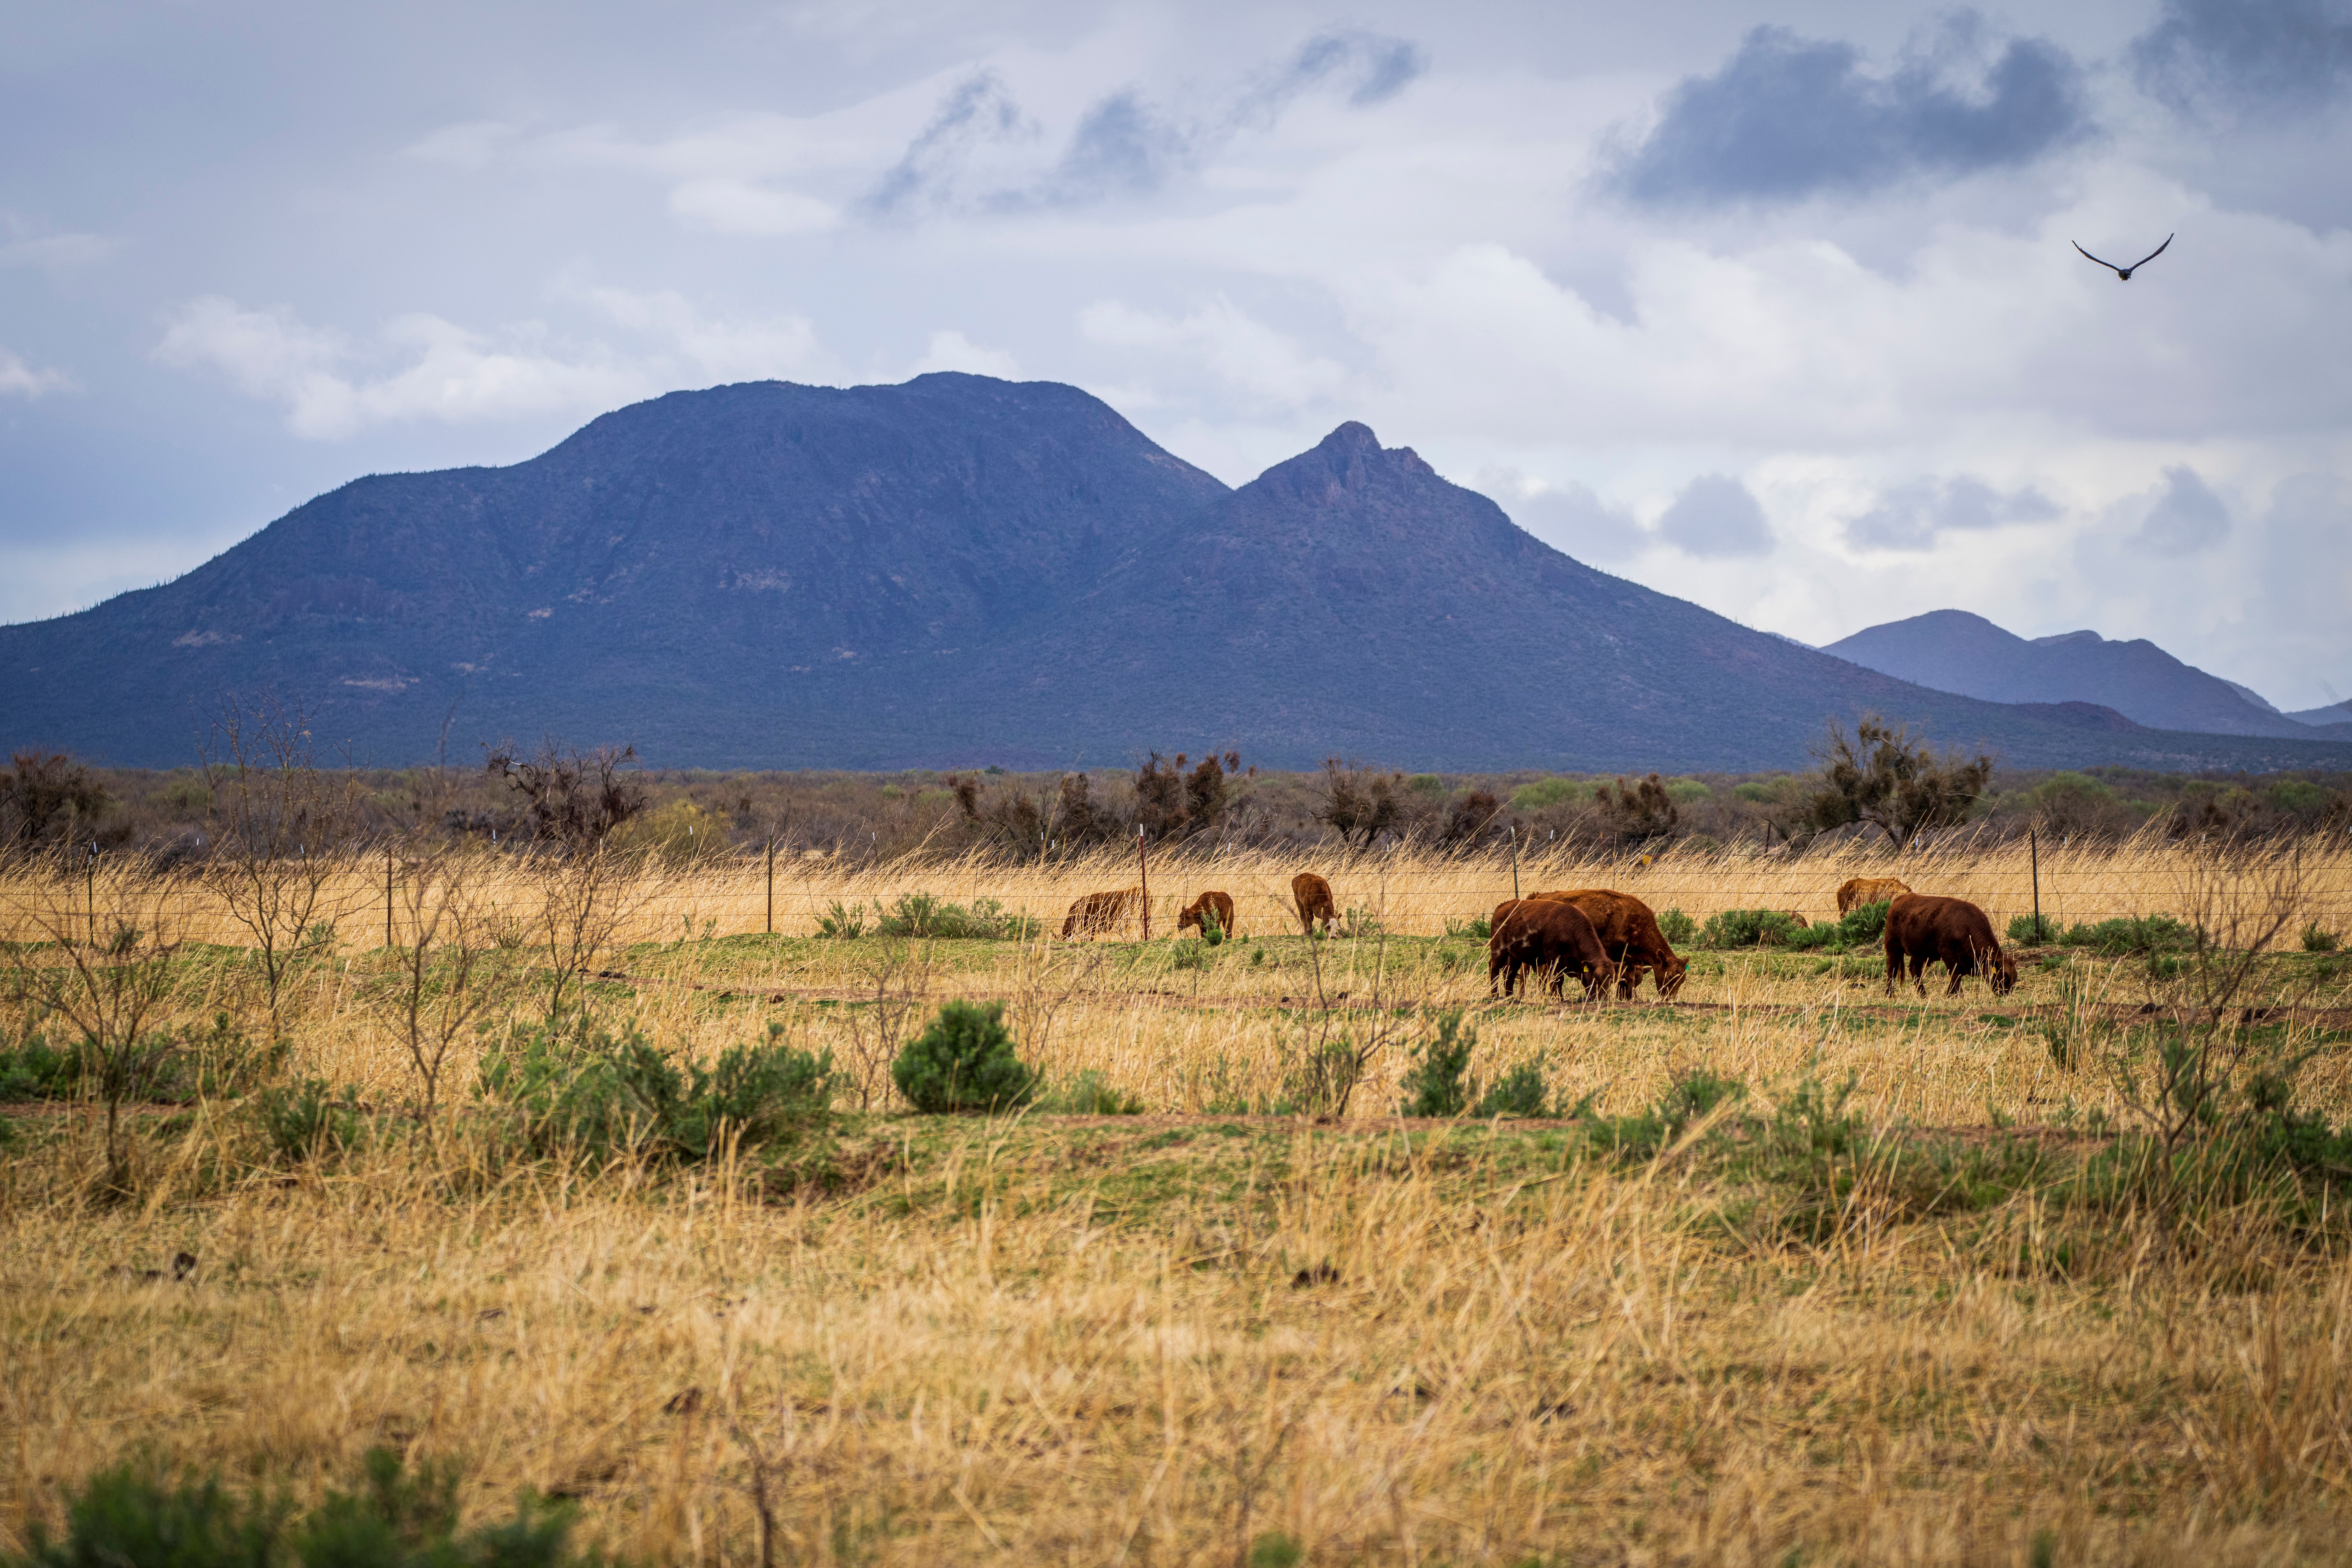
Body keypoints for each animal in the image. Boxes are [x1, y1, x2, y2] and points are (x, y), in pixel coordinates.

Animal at [1177, 890, 1238, 940]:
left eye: (1189, 917)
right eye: (1180, 916)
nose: (1179, 925)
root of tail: (1229, 898)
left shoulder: (1212, 924)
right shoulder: (1202, 926)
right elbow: (1203, 935)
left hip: (1229, 917)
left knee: (1228, 928)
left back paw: (1228, 938)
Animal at [1292, 872, 1338, 935]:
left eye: (1336, 927)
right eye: (1328, 926)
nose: (1333, 936)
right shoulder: (1307, 907)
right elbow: (1310, 919)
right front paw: (1310, 933)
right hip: (1298, 901)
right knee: (1303, 917)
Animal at [1488, 899, 1618, 1001]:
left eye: (1611, 982)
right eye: (1596, 981)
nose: (1604, 999)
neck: (1571, 929)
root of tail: (1502, 907)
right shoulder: (1554, 959)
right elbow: (1558, 980)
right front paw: (1558, 999)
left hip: (1515, 957)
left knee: (1510, 975)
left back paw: (1510, 997)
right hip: (1499, 951)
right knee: (1494, 969)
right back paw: (1495, 996)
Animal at [1526, 888, 1689, 1001]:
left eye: (1682, 980)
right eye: (1670, 977)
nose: (1671, 999)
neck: (1635, 923)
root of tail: (1537, 896)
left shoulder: (1629, 961)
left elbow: (1627, 980)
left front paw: (1625, 998)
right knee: (1542, 973)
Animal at [1883, 893, 2017, 997]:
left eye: (2015, 979)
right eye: (2003, 977)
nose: (2005, 994)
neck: (1967, 928)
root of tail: (1899, 900)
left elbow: (1956, 977)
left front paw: (1950, 994)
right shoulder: (1949, 955)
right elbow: (1956, 975)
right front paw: (1958, 996)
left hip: (1919, 954)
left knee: (1915, 970)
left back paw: (1923, 995)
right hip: (1894, 948)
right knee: (1892, 970)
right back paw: (1890, 995)